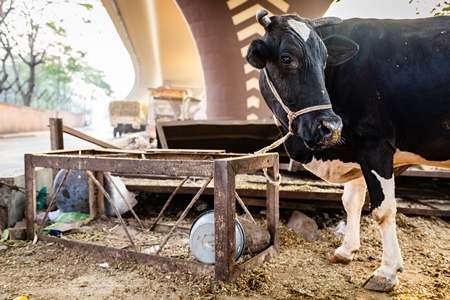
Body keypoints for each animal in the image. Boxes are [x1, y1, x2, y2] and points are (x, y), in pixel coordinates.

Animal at [246, 9, 450, 292]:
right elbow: (351, 201)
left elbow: (384, 210)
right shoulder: (357, 151)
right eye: (286, 58)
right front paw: (347, 250)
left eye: (325, 60)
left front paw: (387, 272)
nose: (330, 127)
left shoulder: (375, 143)